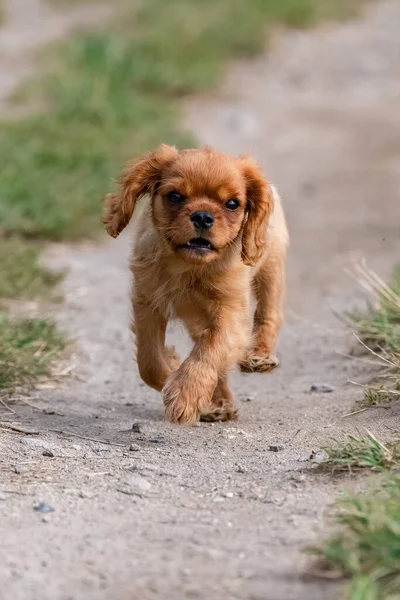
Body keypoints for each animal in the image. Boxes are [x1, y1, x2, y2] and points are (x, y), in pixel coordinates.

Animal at [103, 144, 288, 426]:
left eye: (232, 204)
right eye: (175, 196)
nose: (202, 216)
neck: (189, 267)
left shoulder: (231, 314)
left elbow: (210, 350)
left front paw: (185, 394)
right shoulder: (147, 303)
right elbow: (149, 361)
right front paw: (172, 369)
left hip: (271, 266)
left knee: (270, 312)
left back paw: (259, 355)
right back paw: (218, 404)